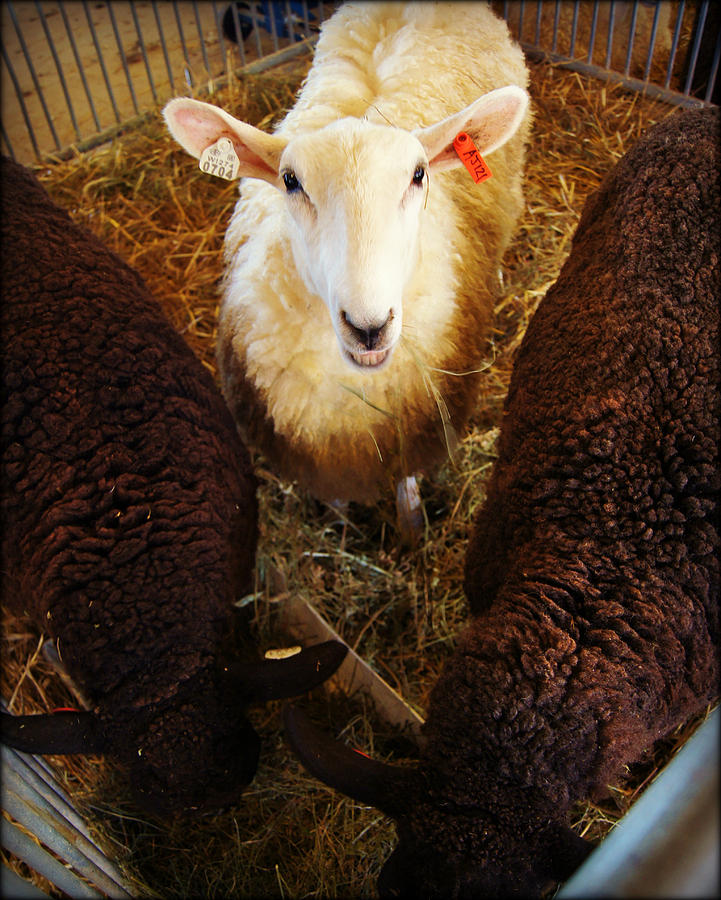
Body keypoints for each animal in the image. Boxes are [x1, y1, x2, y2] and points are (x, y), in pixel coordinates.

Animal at [165, 1, 528, 528]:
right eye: (290, 181)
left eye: (419, 174)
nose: (368, 327)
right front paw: (337, 516)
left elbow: (405, 479)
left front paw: (411, 523)